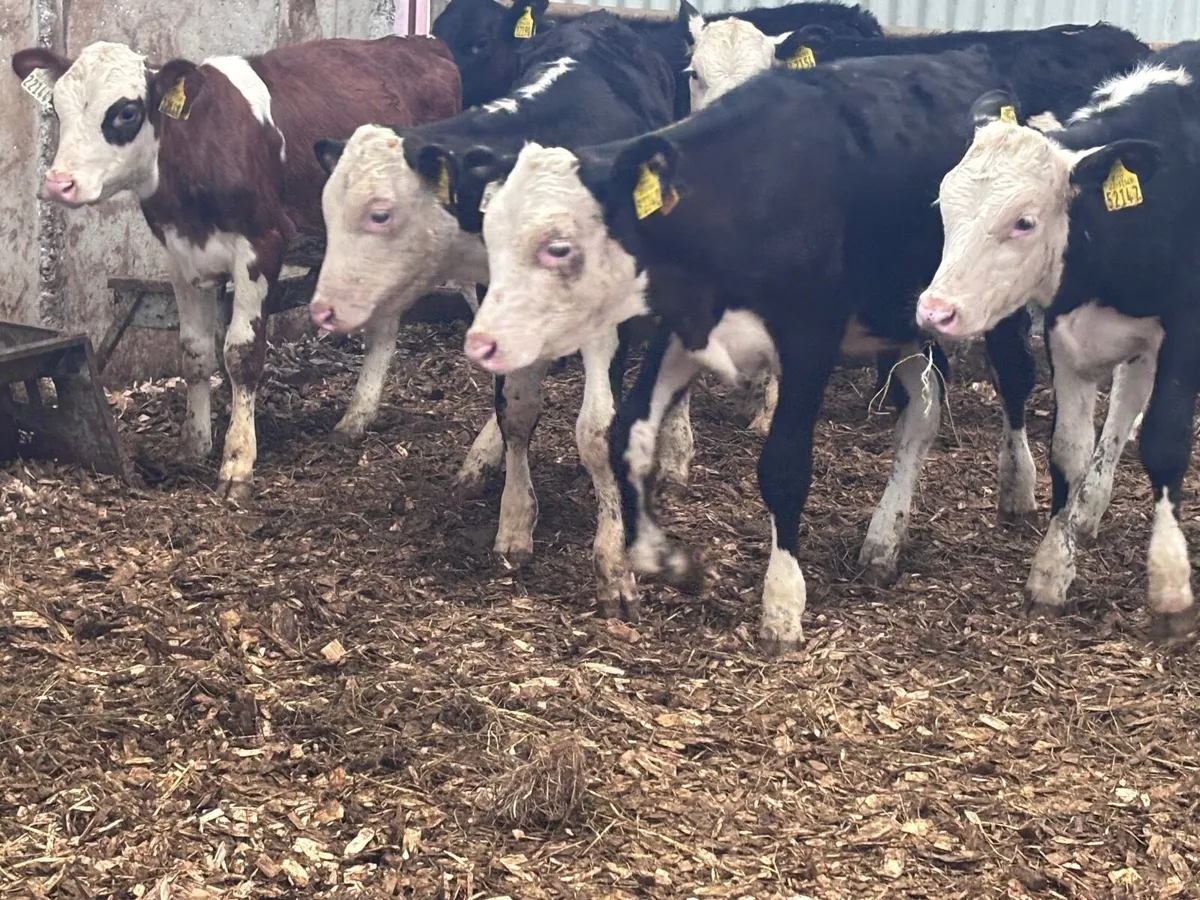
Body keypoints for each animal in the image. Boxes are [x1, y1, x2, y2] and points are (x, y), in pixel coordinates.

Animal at [11, 37, 461, 502]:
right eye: (57, 108)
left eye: (126, 112)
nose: (59, 183)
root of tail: (421, 44)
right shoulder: (181, 256)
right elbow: (194, 352)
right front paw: (194, 444)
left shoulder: (261, 247)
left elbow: (241, 354)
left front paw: (237, 461)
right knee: (385, 325)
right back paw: (357, 418)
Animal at [308, 12, 688, 621]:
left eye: (380, 213)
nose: (323, 308)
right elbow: (515, 410)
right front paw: (513, 522)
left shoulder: (609, 320)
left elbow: (595, 431)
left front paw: (614, 564)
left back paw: (675, 451)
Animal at [461, 46, 1032, 652]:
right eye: (490, 236)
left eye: (559, 246)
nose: (482, 340)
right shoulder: (682, 330)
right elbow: (627, 438)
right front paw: (669, 562)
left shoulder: (809, 341)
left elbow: (784, 466)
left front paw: (782, 605)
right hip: (903, 322)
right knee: (922, 413)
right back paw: (883, 541)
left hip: (998, 304)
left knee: (1015, 376)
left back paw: (1019, 490)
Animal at [916, 47, 1200, 636]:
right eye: (943, 206)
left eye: (1024, 221)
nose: (936, 310)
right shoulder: (1067, 333)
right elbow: (1069, 451)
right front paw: (1050, 571)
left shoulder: (1186, 328)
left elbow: (1164, 442)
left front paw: (1170, 586)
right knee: (1125, 400)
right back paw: (1091, 507)